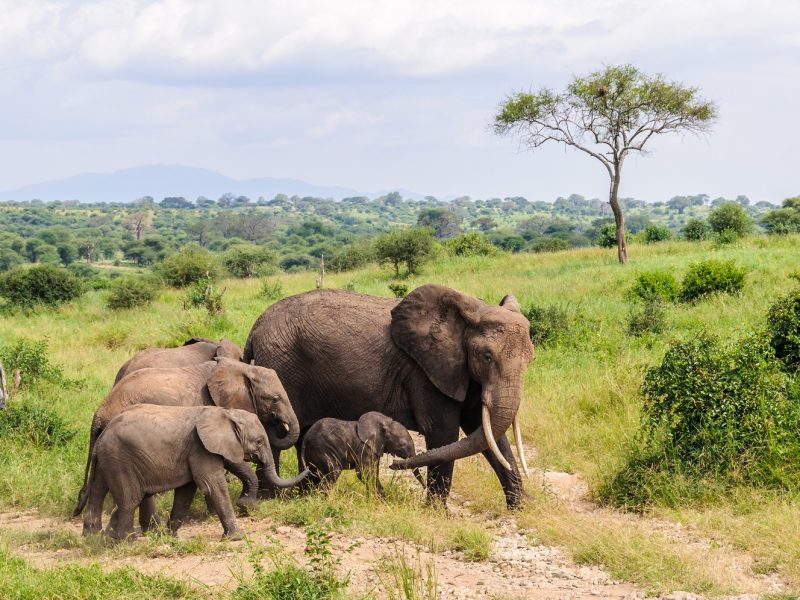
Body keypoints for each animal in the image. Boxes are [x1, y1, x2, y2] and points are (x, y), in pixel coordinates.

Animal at [73, 358, 300, 524]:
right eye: (275, 398)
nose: (278, 423)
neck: (242, 369)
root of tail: (98, 414)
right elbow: (229, 461)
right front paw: (240, 508)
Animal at [79, 404, 306, 540]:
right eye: (259, 441)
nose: (308, 465)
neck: (226, 412)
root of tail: (103, 434)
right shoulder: (200, 448)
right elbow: (212, 486)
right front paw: (236, 537)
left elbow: (186, 492)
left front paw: (171, 536)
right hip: (121, 459)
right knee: (129, 499)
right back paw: (129, 542)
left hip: (109, 459)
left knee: (98, 491)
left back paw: (95, 538)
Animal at [244, 284, 532, 506]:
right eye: (487, 357)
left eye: (530, 360)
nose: (393, 465)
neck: (470, 313)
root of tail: (255, 327)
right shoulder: (425, 373)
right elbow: (444, 432)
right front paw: (436, 513)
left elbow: (486, 433)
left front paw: (519, 507)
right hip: (282, 367)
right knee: (277, 431)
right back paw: (271, 498)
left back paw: (305, 495)